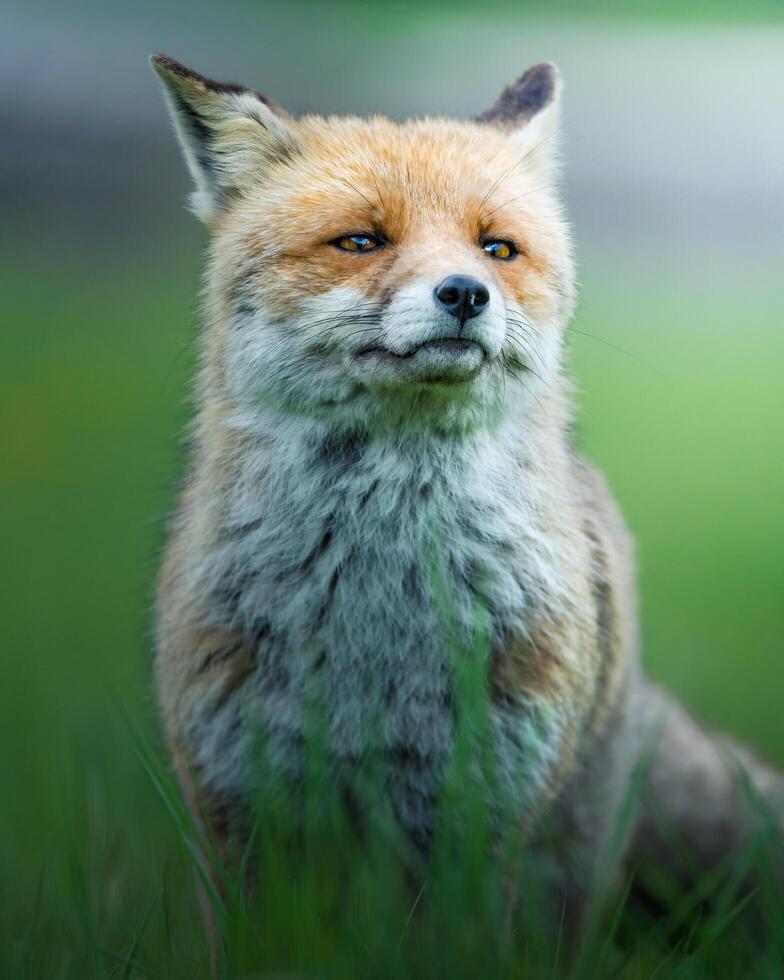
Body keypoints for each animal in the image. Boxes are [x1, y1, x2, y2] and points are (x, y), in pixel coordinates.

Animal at [150, 51, 780, 940]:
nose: (464, 293)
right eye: (360, 241)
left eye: (496, 248)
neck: (378, 613)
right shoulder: (237, 807)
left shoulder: (483, 815)